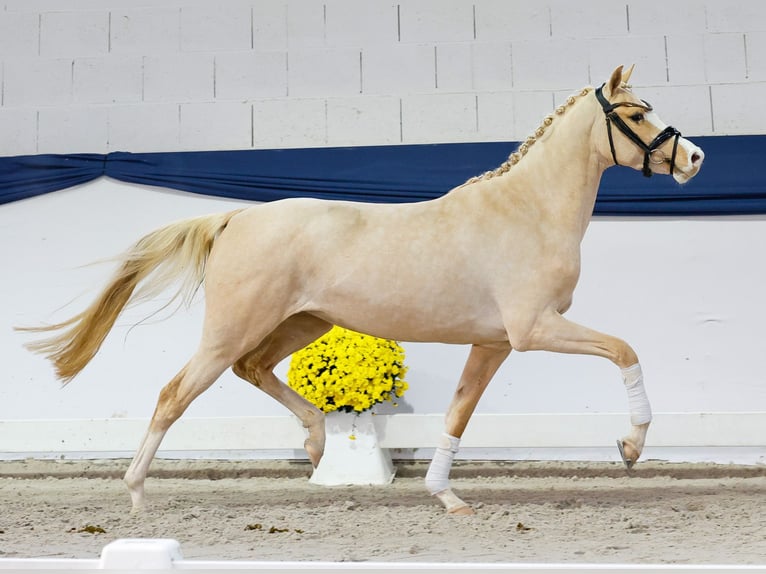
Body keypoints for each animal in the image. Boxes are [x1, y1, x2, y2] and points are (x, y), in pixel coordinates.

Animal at [19, 65, 704, 515]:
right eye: (637, 115)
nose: (694, 158)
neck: (525, 211)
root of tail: (235, 218)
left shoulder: (494, 342)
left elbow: (458, 413)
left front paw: (446, 496)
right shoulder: (533, 330)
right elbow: (625, 350)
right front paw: (630, 446)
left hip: (302, 323)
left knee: (254, 370)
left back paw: (317, 443)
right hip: (232, 328)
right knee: (173, 395)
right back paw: (137, 495)